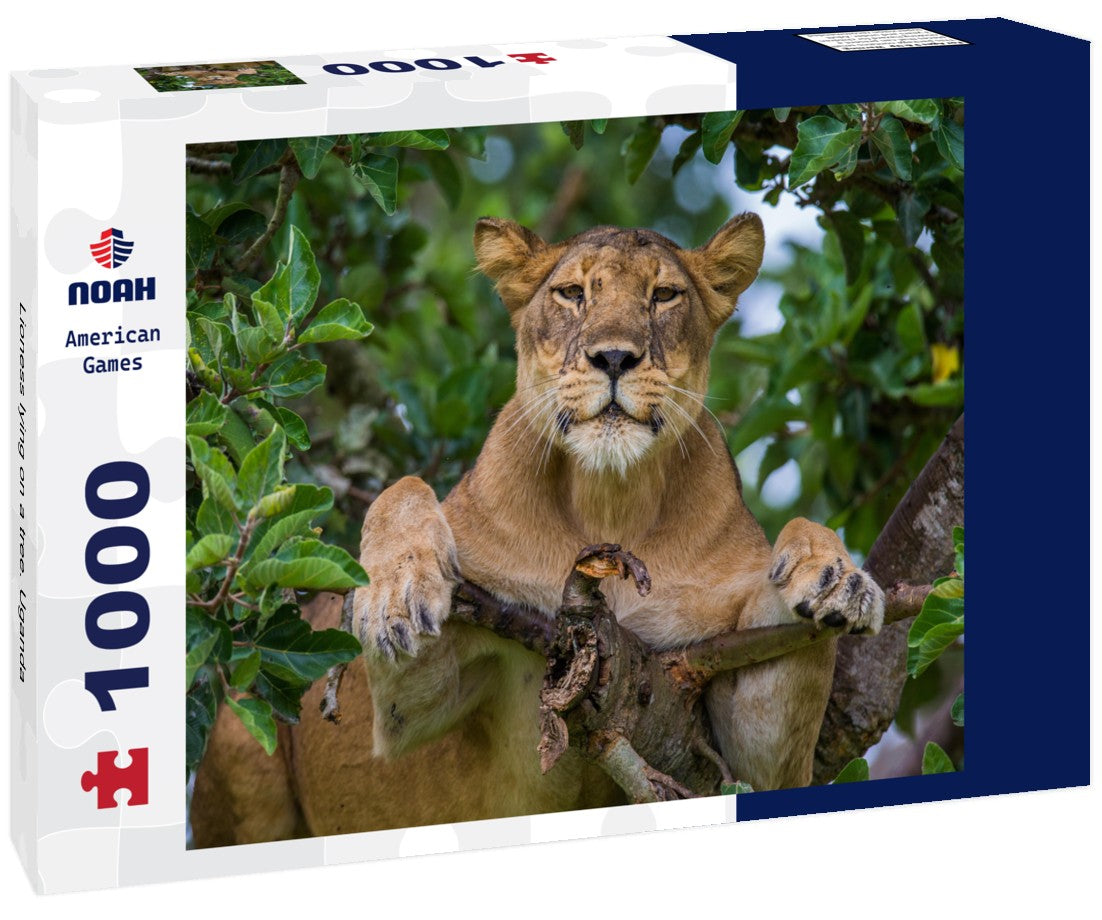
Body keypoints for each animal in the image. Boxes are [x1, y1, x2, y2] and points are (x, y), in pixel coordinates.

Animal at [190, 213, 884, 846]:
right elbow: (404, 490)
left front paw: (836, 580)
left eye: (663, 296)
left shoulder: (737, 744)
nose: (613, 357)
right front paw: (396, 594)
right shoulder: (408, 705)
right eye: (572, 293)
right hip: (239, 747)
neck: (610, 498)